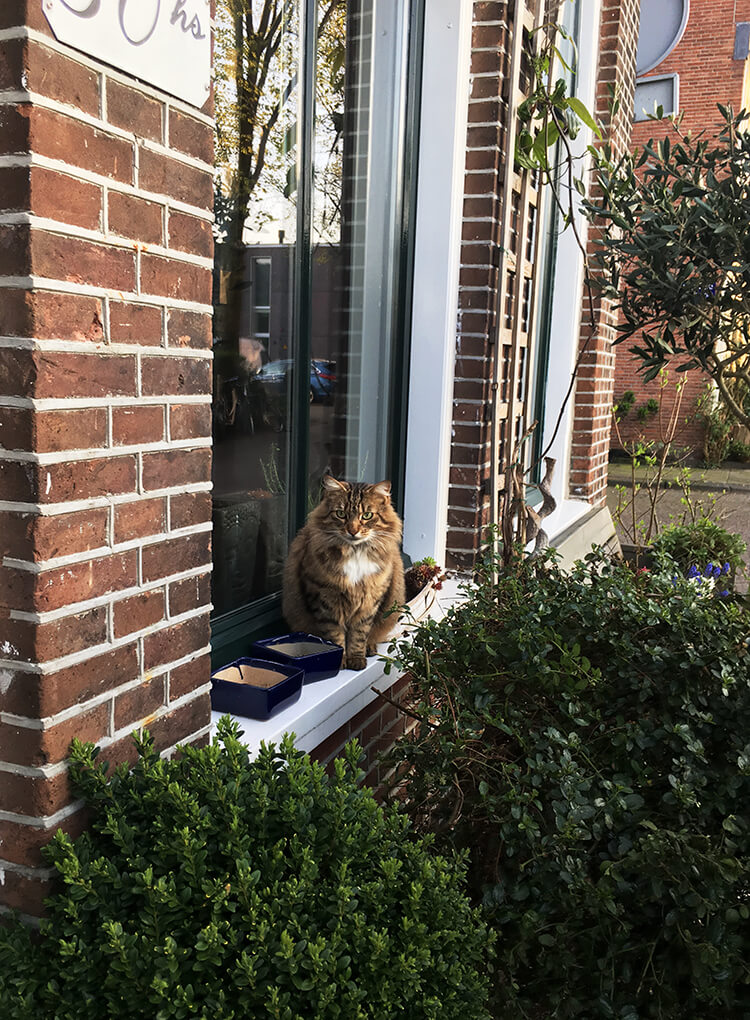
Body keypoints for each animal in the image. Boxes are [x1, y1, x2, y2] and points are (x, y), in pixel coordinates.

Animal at [283, 475, 408, 673]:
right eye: (341, 514)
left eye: (367, 515)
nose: (353, 530)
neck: (355, 552)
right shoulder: (324, 599)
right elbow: (335, 636)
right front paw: (340, 661)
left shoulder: (370, 600)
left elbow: (359, 634)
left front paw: (356, 659)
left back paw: (369, 649)